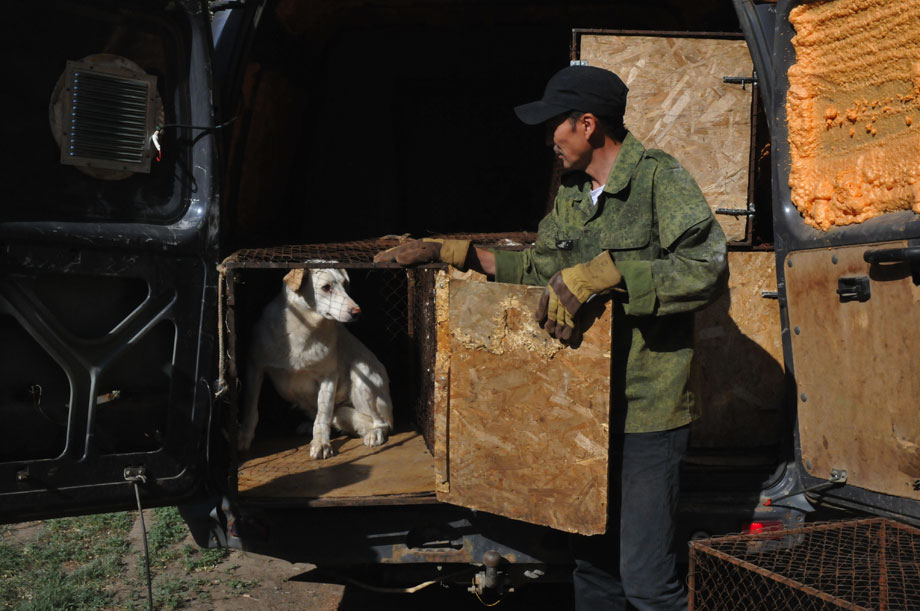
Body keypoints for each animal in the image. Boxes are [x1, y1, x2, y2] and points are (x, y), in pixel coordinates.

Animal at [237, 268, 392, 460]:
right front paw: (244, 437)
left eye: (345, 285)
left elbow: (323, 415)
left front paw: (321, 444)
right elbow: (250, 408)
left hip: (362, 375)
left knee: (382, 423)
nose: (357, 312)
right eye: (326, 287)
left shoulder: (329, 377)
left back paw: (374, 433)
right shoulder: (254, 366)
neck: (303, 328)